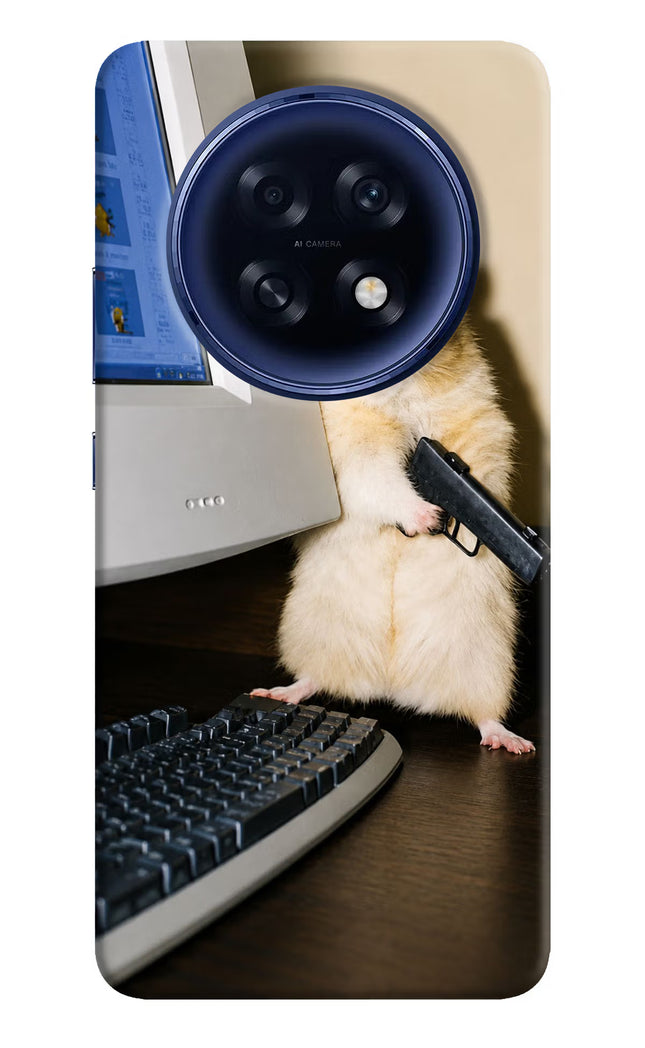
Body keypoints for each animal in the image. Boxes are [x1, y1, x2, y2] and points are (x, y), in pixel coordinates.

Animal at [252, 315, 535, 754]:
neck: (401, 396)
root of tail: (392, 685)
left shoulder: (480, 425)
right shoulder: (354, 450)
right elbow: (381, 480)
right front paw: (429, 518)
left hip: (487, 661)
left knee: (484, 713)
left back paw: (512, 742)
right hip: (313, 633)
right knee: (313, 678)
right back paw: (274, 693)